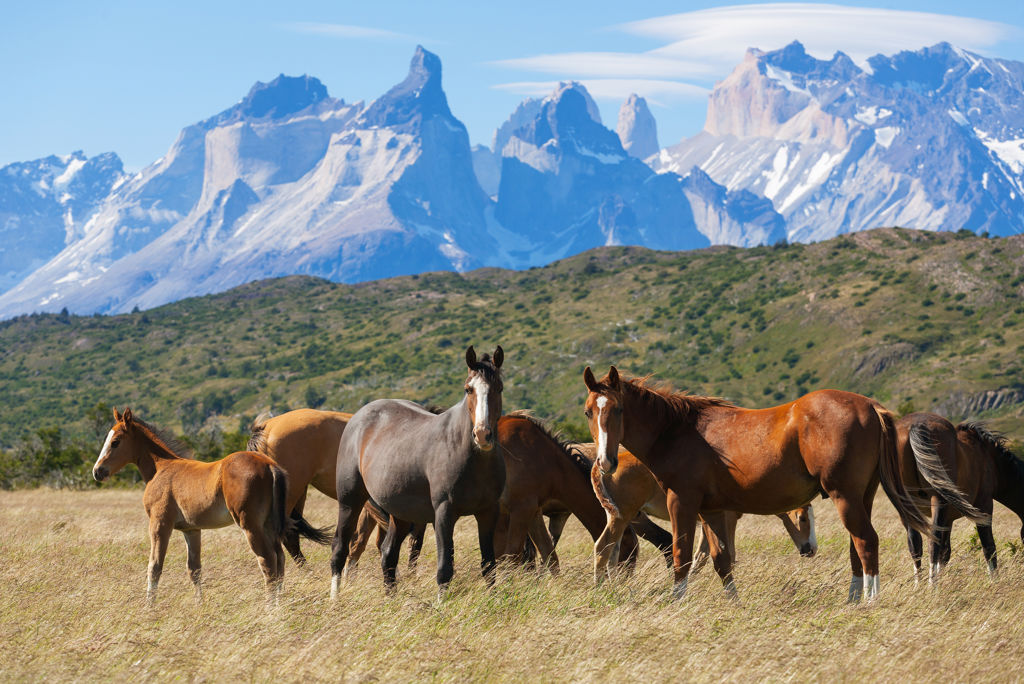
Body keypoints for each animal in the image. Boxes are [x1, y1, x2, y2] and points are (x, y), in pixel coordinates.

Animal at [91, 408, 327, 602]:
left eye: (115, 442)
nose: (97, 471)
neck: (161, 468)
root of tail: (270, 466)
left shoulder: (160, 524)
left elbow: (154, 566)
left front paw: (149, 607)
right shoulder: (192, 529)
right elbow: (194, 570)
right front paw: (199, 604)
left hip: (250, 524)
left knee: (268, 562)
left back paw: (270, 608)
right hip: (268, 524)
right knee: (279, 560)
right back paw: (279, 604)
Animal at [330, 346, 507, 598]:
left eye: (499, 388)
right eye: (468, 389)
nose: (482, 435)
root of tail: (358, 418)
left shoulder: (488, 512)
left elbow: (489, 565)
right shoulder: (444, 513)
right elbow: (445, 568)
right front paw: (441, 604)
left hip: (401, 514)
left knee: (388, 554)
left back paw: (391, 599)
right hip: (350, 501)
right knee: (340, 548)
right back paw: (335, 599)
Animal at [584, 443, 817, 581]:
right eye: (802, 518)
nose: (811, 549)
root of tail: (601, 466)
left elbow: (701, 556)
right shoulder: (727, 518)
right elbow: (727, 554)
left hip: (619, 517)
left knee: (612, 550)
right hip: (622, 516)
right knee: (603, 547)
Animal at [896, 413, 1021, 581]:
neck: (989, 459)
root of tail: (917, 424)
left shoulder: (948, 521)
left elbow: (945, 553)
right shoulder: (985, 506)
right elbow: (989, 547)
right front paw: (994, 581)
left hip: (907, 507)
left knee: (915, 544)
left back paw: (919, 585)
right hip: (938, 501)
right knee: (932, 542)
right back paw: (932, 585)